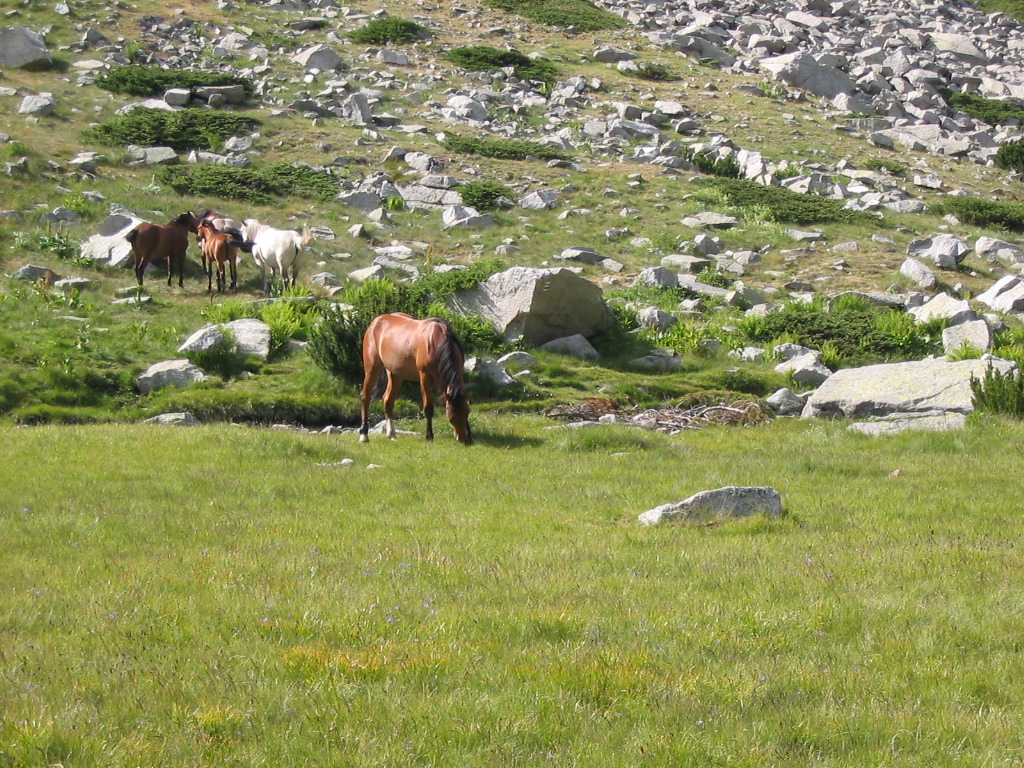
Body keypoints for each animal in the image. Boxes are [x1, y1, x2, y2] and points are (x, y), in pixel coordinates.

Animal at [359, 313, 472, 445]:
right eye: (451, 417)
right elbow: (428, 407)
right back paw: (364, 435)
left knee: (387, 400)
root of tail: (377, 321)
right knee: (365, 397)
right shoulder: (424, 377)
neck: (437, 343)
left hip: (395, 374)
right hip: (372, 368)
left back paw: (391, 433)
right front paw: (429, 436)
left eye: (466, 413)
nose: (463, 438)